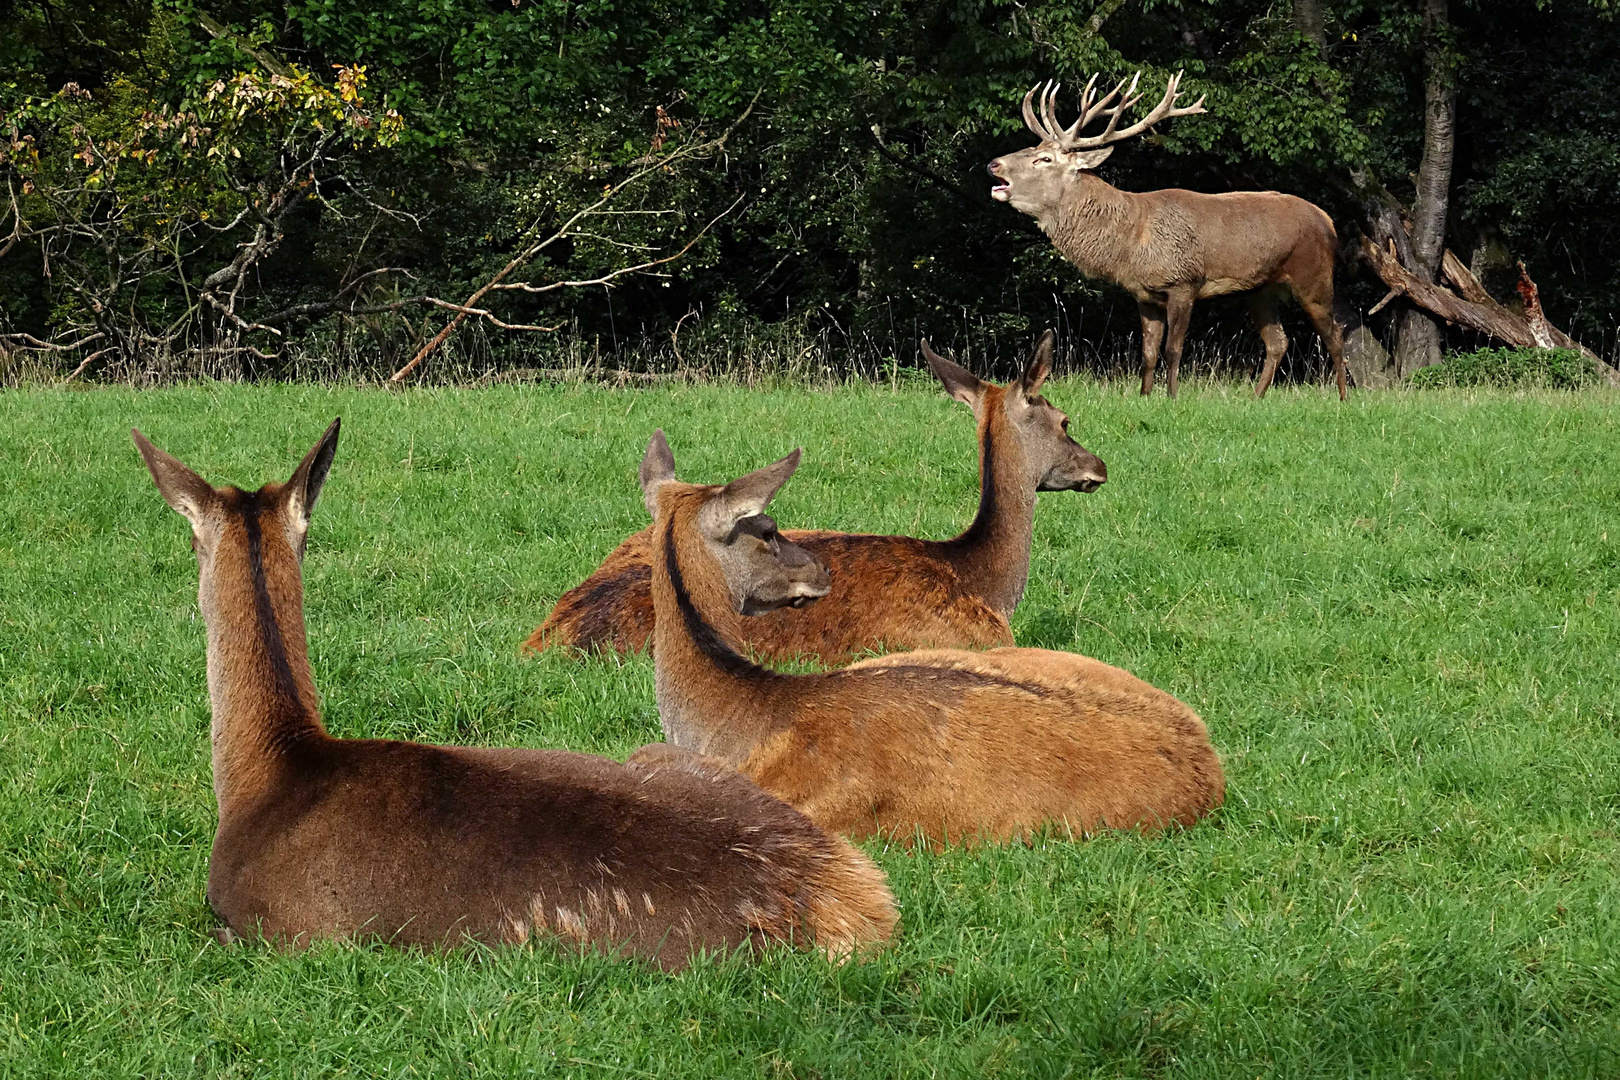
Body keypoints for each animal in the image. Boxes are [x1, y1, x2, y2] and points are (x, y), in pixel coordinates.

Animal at [991, 72, 1347, 401]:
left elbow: (1173, 349)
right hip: (1261, 289)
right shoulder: (1143, 294)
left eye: (1043, 159)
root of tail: (1328, 221)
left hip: (1314, 276)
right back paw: (1256, 398)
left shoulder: (1184, 282)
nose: (994, 163)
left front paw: (1173, 398)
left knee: (1334, 334)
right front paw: (1145, 396)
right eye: (1033, 148)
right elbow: (1148, 352)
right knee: (1278, 341)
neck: (1131, 243)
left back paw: (1343, 398)